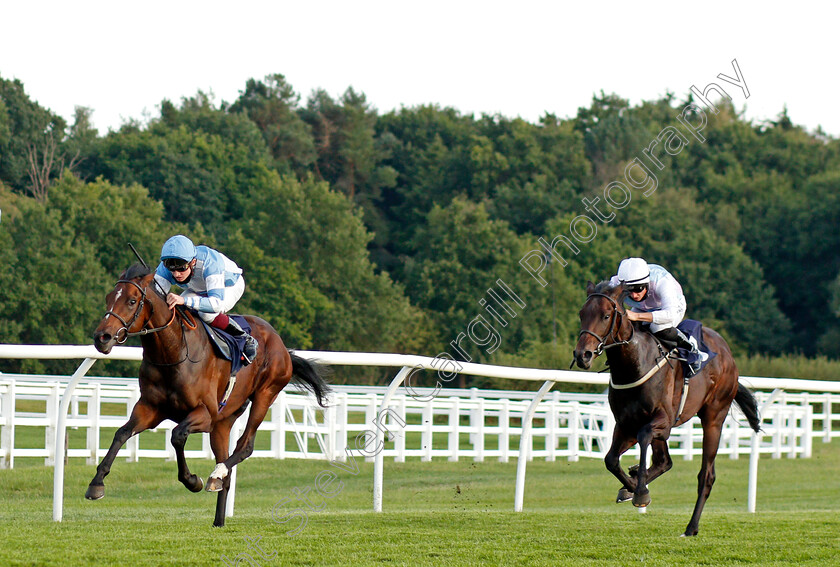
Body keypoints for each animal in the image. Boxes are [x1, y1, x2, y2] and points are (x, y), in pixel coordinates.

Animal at [87, 266, 330, 528]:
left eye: (132, 301)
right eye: (108, 298)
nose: (102, 337)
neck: (173, 352)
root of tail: (282, 345)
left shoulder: (205, 414)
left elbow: (177, 435)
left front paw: (193, 480)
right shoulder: (150, 409)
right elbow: (122, 433)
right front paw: (96, 483)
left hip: (265, 394)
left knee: (245, 446)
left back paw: (216, 474)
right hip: (223, 422)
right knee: (227, 467)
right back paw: (218, 517)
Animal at [572, 280, 760, 536]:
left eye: (606, 315)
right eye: (582, 314)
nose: (583, 355)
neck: (635, 364)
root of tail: (728, 355)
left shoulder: (662, 421)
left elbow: (644, 438)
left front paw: (640, 491)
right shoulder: (625, 423)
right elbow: (611, 460)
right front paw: (631, 485)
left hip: (713, 417)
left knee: (706, 475)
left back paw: (691, 527)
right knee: (664, 461)